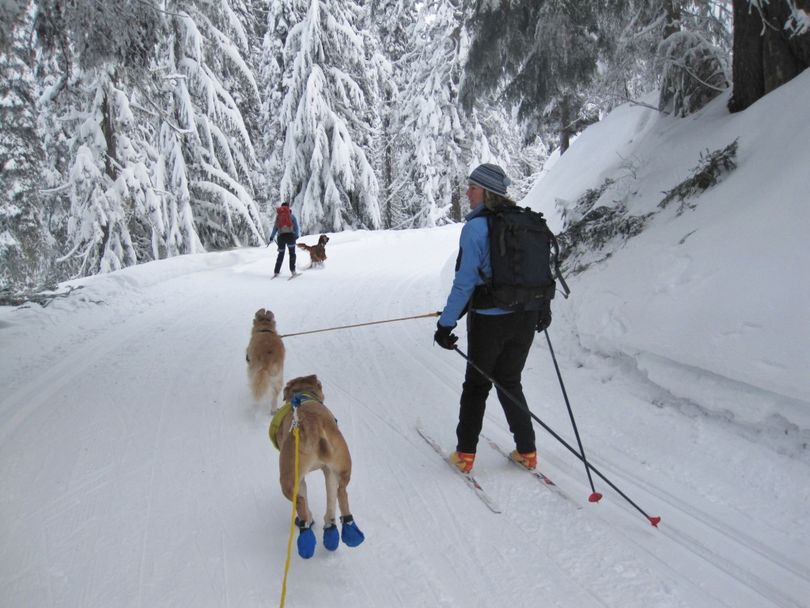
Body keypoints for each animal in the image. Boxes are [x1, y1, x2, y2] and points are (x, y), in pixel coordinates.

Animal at [268, 372, 362, 560]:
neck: (304, 395)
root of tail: (315, 427)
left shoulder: (300, 478)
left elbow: (304, 496)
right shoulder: (326, 470)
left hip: (288, 477)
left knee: (301, 502)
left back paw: (306, 537)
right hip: (340, 467)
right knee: (339, 494)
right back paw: (342, 533)